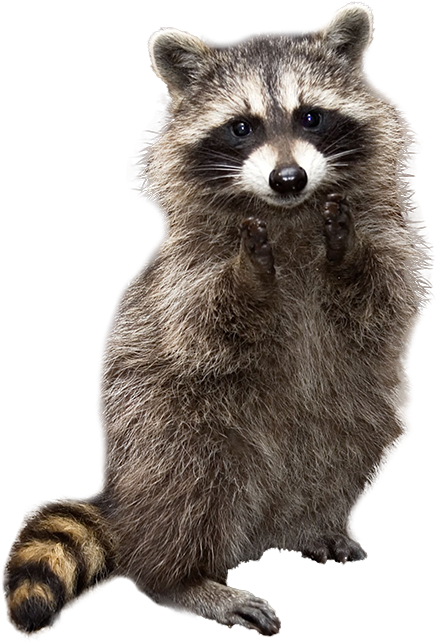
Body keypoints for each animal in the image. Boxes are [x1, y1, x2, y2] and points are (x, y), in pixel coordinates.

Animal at [3, 2, 433, 639]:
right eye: (242, 127)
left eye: (311, 117)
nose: (288, 179)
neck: (288, 216)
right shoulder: (183, 273)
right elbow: (204, 327)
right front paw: (249, 276)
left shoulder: (394, 239)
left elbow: (382, 305)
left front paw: (346, 252)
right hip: (164, 417)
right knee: (188, 480)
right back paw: (181, 578)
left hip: (357, 401)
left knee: (357, 437)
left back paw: (314, 522)